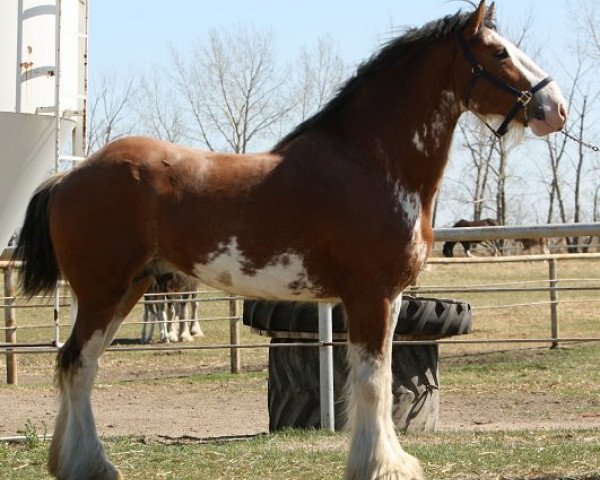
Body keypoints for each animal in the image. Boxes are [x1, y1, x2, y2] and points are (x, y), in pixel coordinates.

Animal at [15, 1, 568, 478]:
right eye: (500, 53)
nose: (556, 108)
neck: (369, 161)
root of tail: (69, 176)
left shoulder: (388, 298)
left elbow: (382, 377)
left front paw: (391, 461)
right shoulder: (370, 295)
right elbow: (372, 383)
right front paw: (377, 466)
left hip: (128, 289)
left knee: (79, 365)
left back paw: (72, 462)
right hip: (103, 291)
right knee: (77, 364)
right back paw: (91, 465)